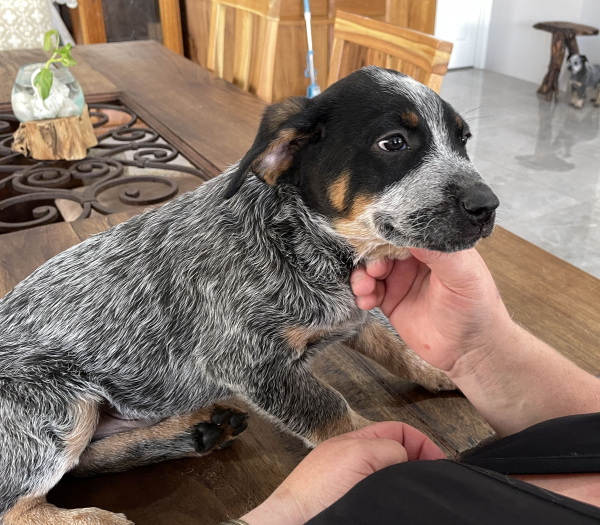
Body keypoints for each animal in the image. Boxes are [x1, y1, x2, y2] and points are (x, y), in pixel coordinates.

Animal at [0, 66, 496, 524]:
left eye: (464, 141)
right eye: (393, 143)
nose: (487, 206)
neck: (303, 242)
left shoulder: (352, 313)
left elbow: (394, 344)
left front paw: (438, 369)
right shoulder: (250, 362)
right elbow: (333, 413)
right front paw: (375, 455)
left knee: (82, 464)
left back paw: (195, 433)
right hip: (64, 405)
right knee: (19, 505)